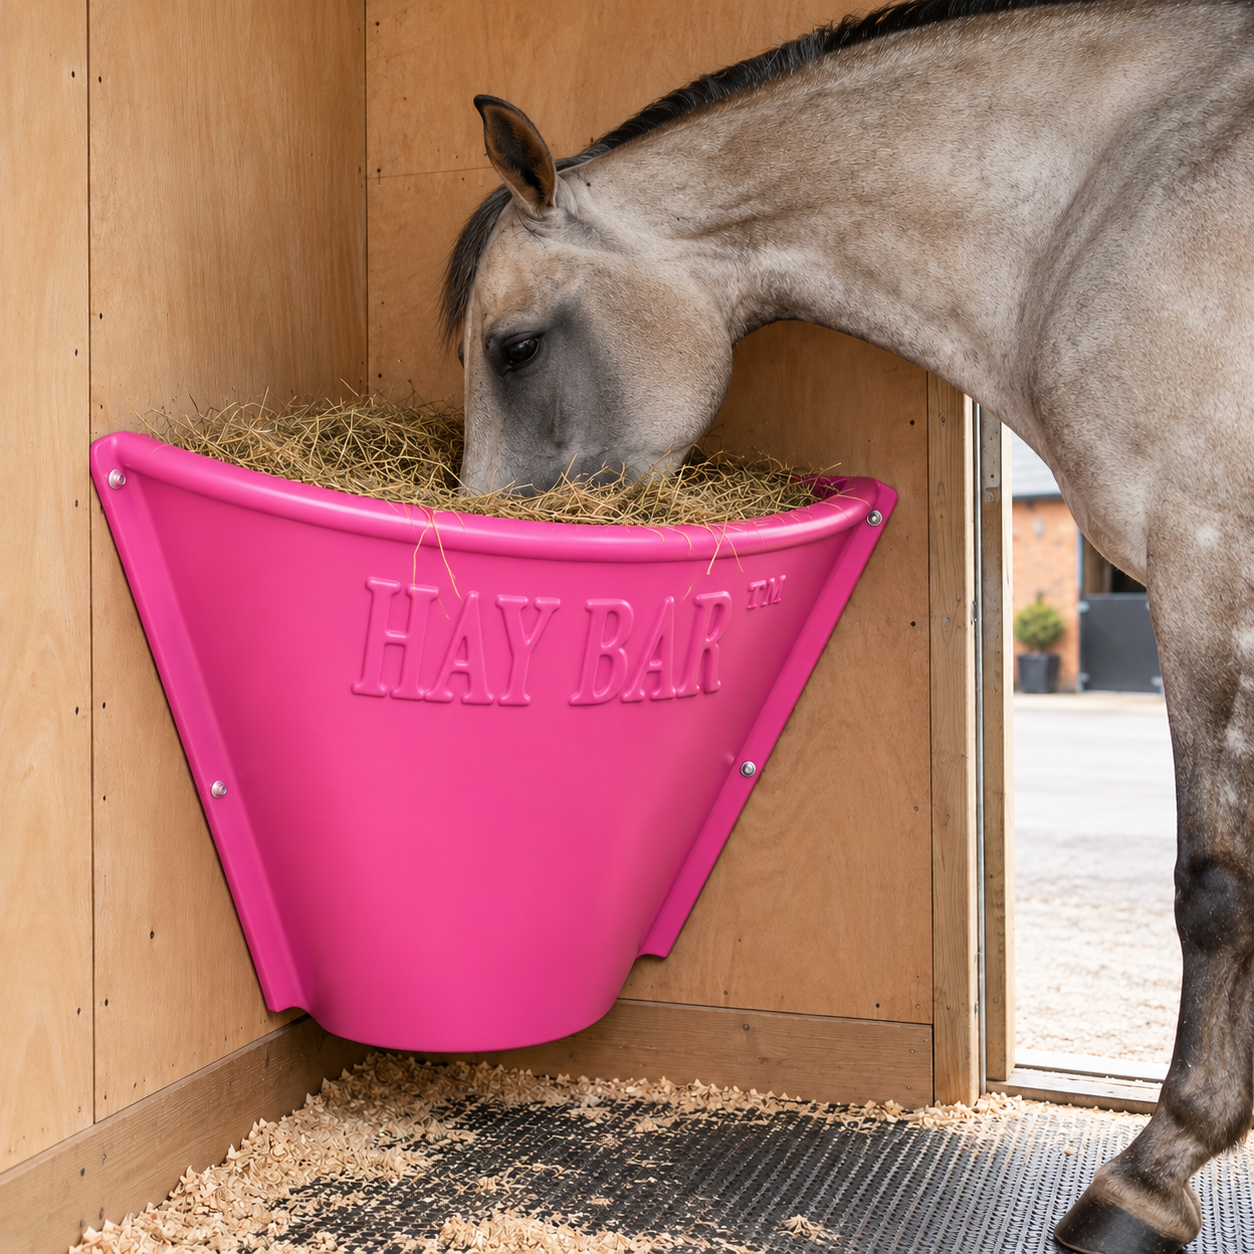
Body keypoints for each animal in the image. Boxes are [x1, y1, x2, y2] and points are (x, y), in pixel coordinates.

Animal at [440, 0, 1254, 1249]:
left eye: (515, 346)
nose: (491, 550)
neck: (1101, 199)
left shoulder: (1204, 555)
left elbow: (1214, 884)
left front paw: (1151, 1176)